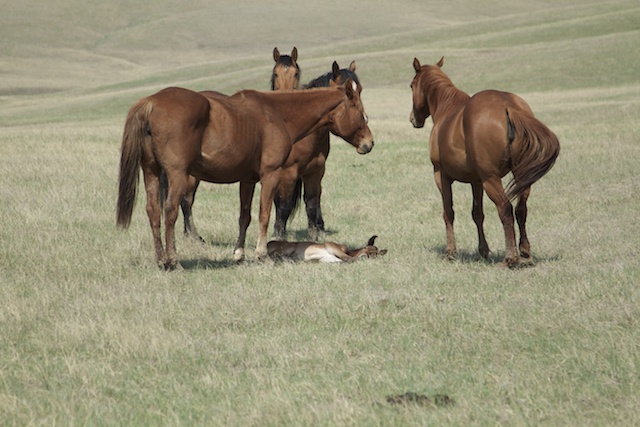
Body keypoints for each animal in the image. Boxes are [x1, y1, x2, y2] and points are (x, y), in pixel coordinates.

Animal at [116, 82, 374, 270]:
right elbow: (265, 214)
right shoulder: (271, 175)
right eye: (361, 114)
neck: (277, 114)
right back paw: (173, 261)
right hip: (178, 176)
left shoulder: (247, 180)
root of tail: (151, 102)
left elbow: (244, 217)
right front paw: (261, 254)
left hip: (151, 172)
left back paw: (161, 260)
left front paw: (238, 253)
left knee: (153, 211)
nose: (369, 143)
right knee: (170, 211)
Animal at [410, 57, 560, 267]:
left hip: (492, 180)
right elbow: (477, 214)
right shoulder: (476, 181)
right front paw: (483, 250)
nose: (413, 119)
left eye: (411, 86)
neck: (446, 109)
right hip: (519, 176)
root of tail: (508, 106)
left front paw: (451, 252)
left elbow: (449, 212)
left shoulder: (441, 175)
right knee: (521, 210)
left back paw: (510, 258)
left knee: (505, 209)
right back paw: (525, 253)